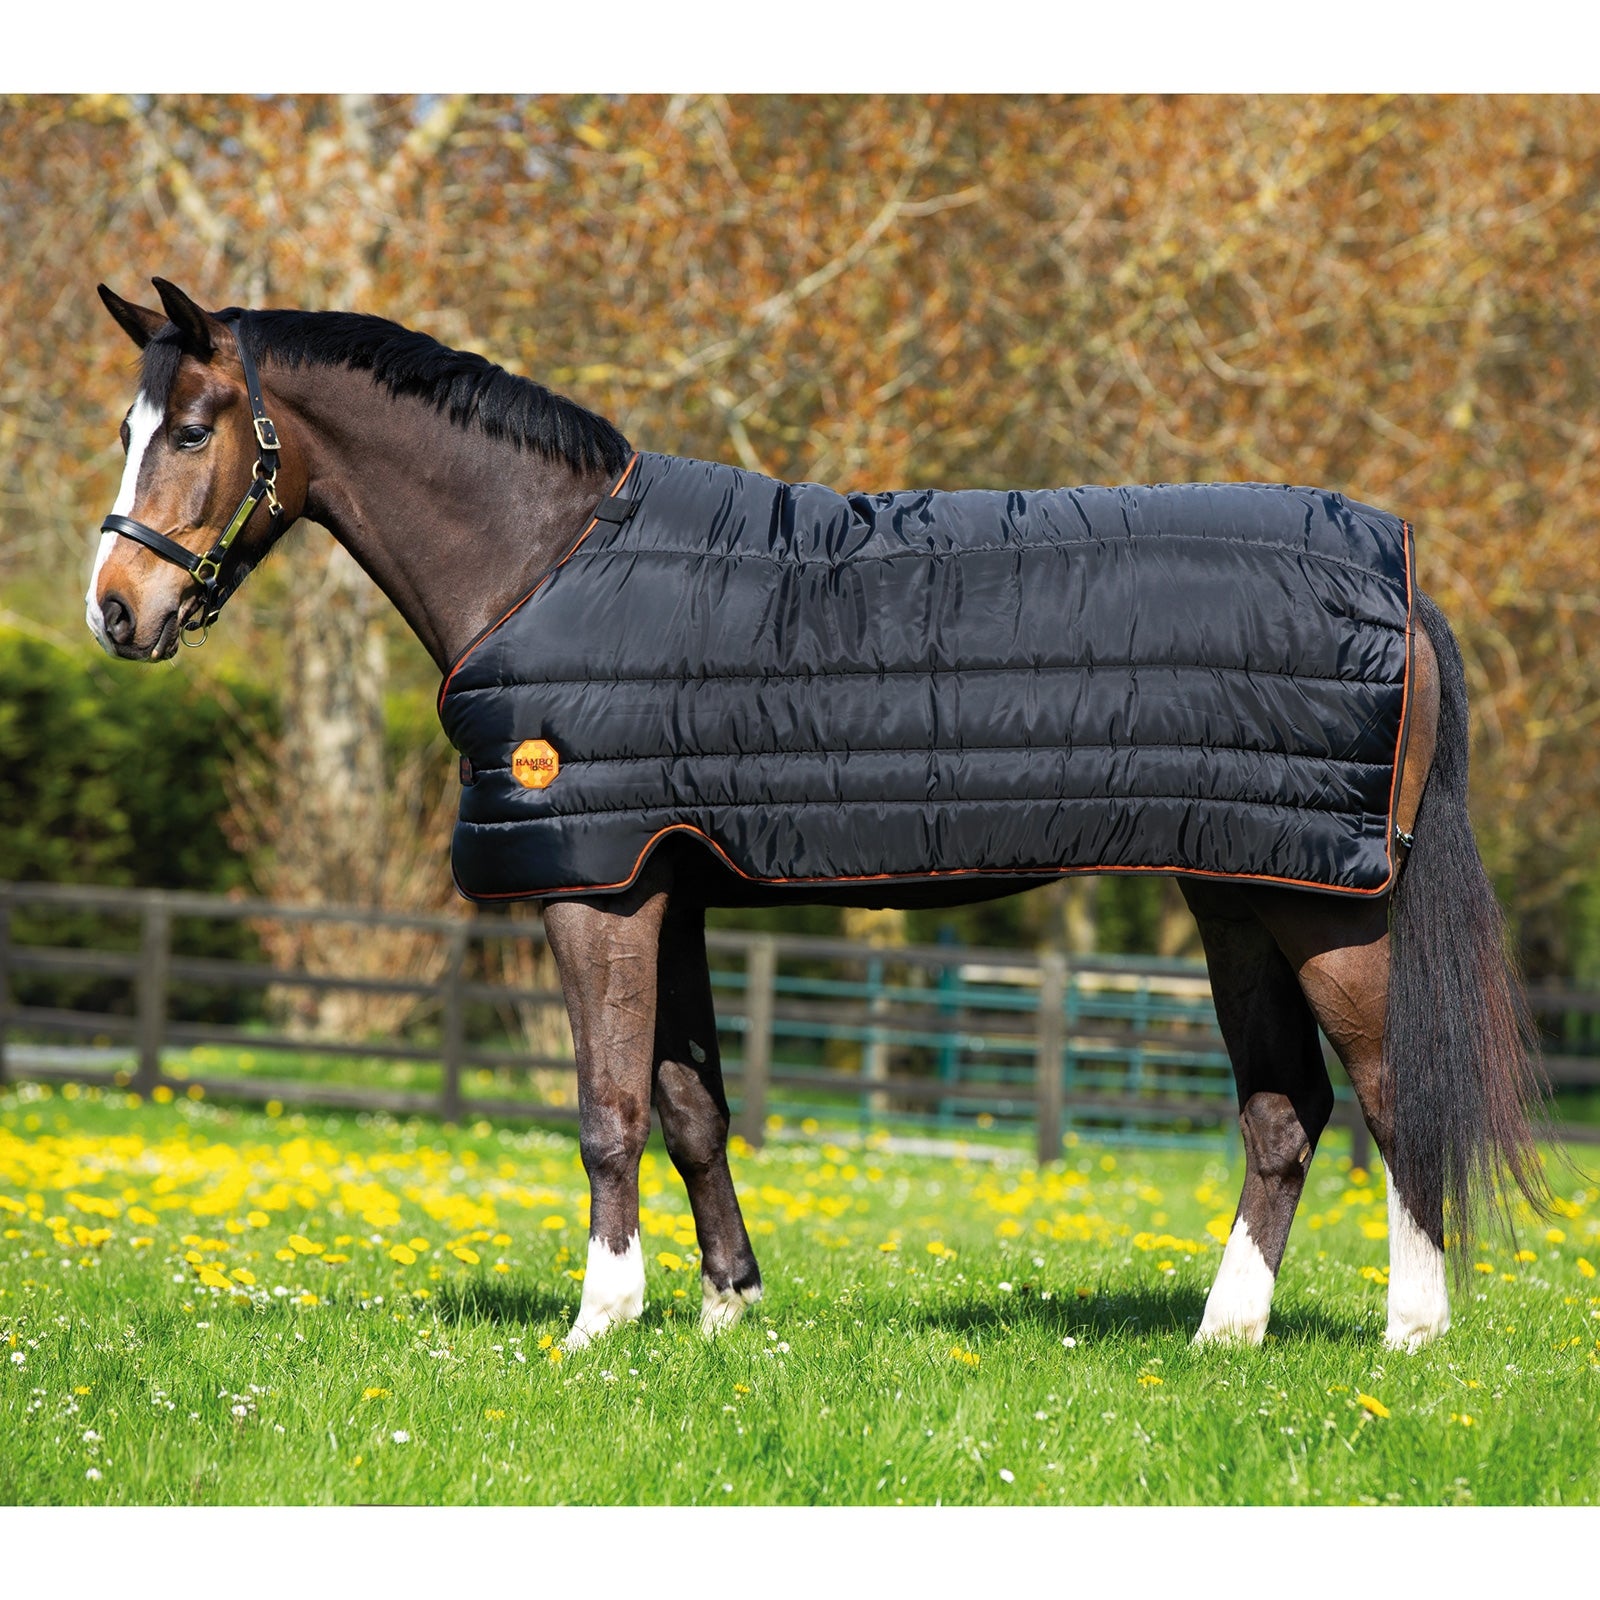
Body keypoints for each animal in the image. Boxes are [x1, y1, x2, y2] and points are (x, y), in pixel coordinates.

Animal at [87, 278, 1550, 1353]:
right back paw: (1221, 1340)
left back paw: (1409, 1336)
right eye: (125, 429)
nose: (116, 610)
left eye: (195, 430)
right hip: (1240, 890)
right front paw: (729, 1310)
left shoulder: (598, 885)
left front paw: (597, 1325)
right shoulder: (668, 884)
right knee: (1285, 1111)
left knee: (1393, 1096)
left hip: (1322, 909)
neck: (543, 559)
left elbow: (609, 1106)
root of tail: (1402, 581)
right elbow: (691, 1107)